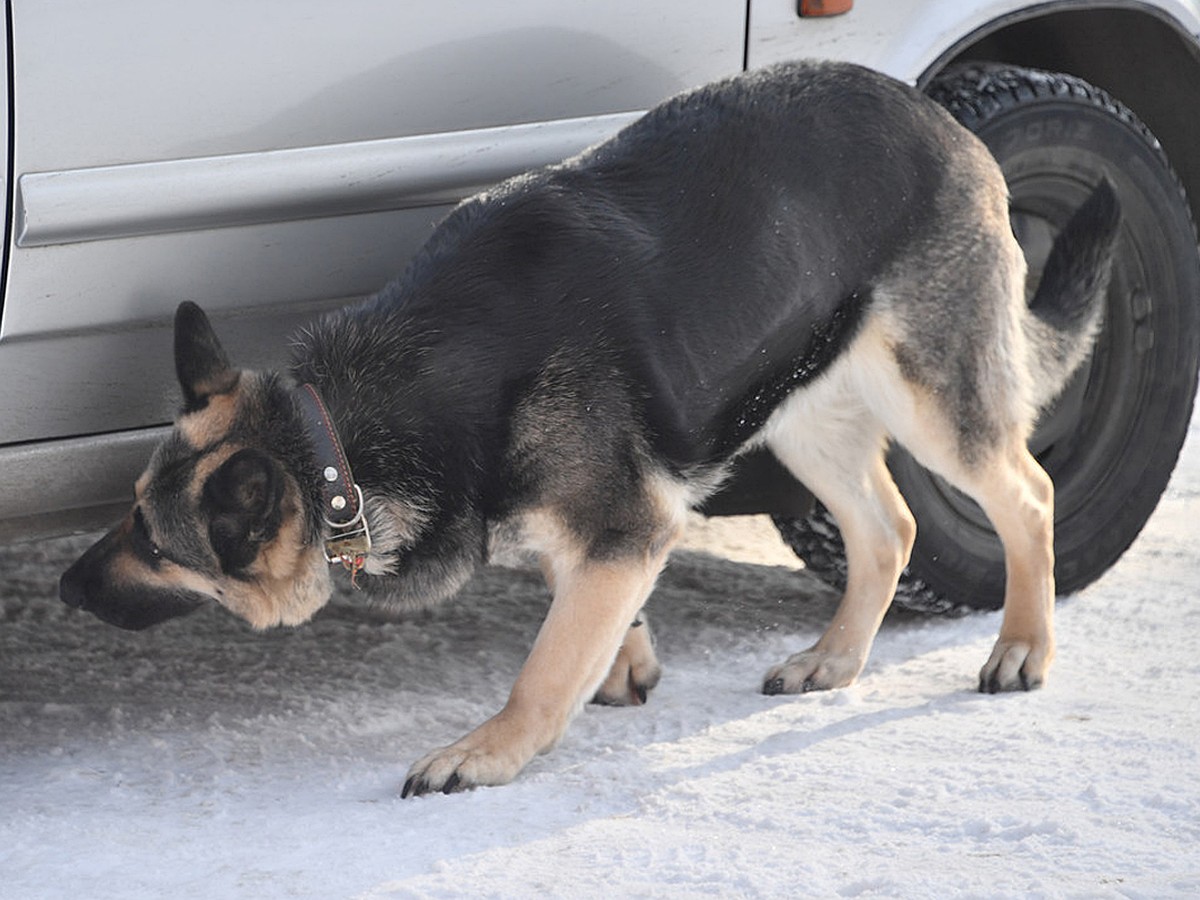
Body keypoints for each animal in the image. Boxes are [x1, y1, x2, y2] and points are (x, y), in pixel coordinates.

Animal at [60, 61, 1118, 796]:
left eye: (157, 543)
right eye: (133, 517)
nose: (68, 589)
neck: (343, 438)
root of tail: (939, 115)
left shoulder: (623, 522)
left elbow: (541, 669)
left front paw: (484, 753)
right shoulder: (614, 526)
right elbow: (591, 610)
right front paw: (626, 660)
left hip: (931, 399)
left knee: (1027, 493)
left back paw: (1023, 648)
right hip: (796, 409)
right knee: (886, 526)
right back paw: (835, 658)